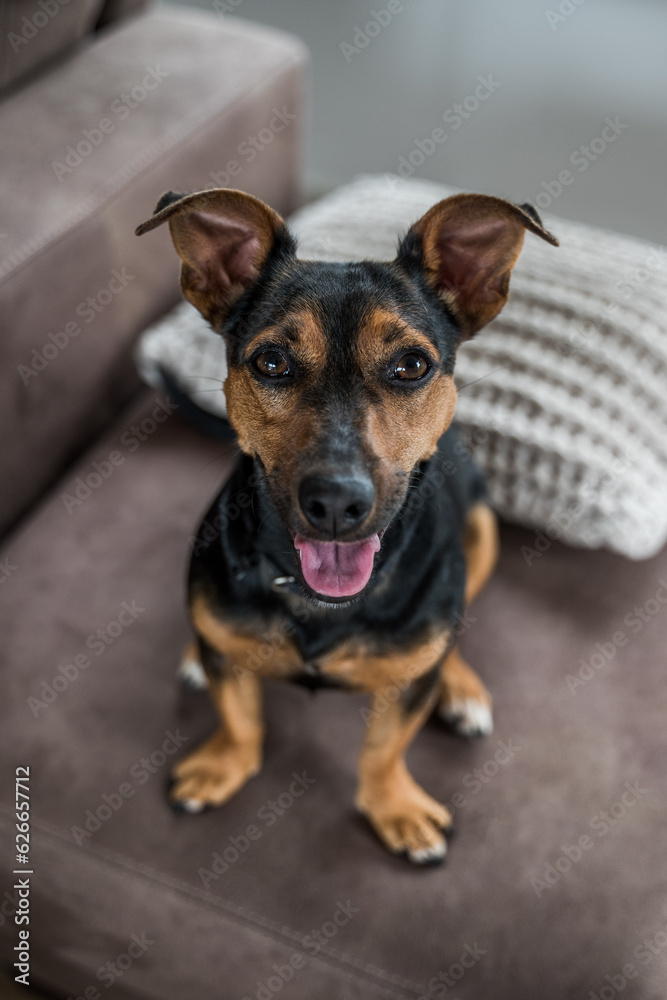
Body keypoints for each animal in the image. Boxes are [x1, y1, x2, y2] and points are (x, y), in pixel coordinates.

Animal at [137, 188, 560, 860]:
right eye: (272, 362)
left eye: (411, 365)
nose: (336, 502)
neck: (317, 599)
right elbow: (240, 718)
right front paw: (222, 764)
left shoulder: (407, 685)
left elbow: (385, 747)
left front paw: (394, 806)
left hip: (482, 531)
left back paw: (460, 684)